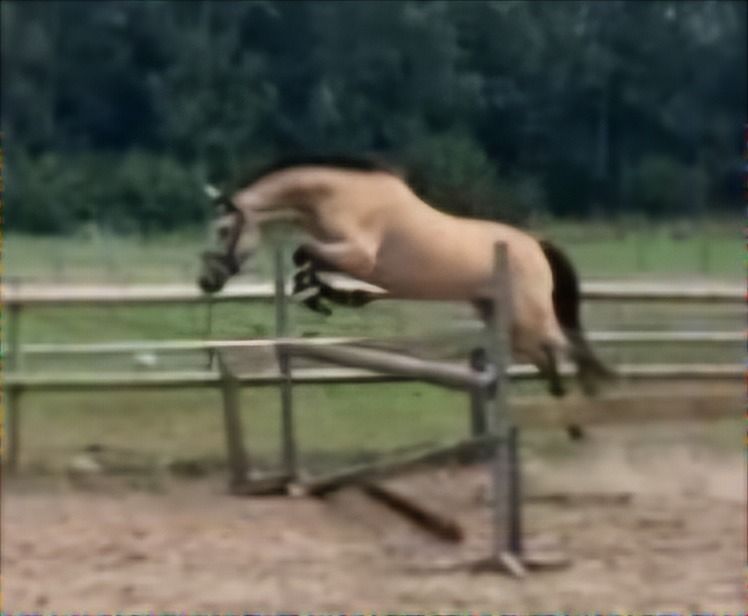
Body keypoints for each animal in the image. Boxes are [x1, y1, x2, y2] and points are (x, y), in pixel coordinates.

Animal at [198, 154, 613, 415]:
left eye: (223, 230)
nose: (206, 282)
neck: (339, 196)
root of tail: (537, 245)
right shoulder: (347, 256)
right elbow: (310, 262)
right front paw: (338, 296)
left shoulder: (359, 255)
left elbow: (304, 256)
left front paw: (321, 296)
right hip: (505, 319)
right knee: (548, 360)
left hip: (531, 315)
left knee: (568, 349)